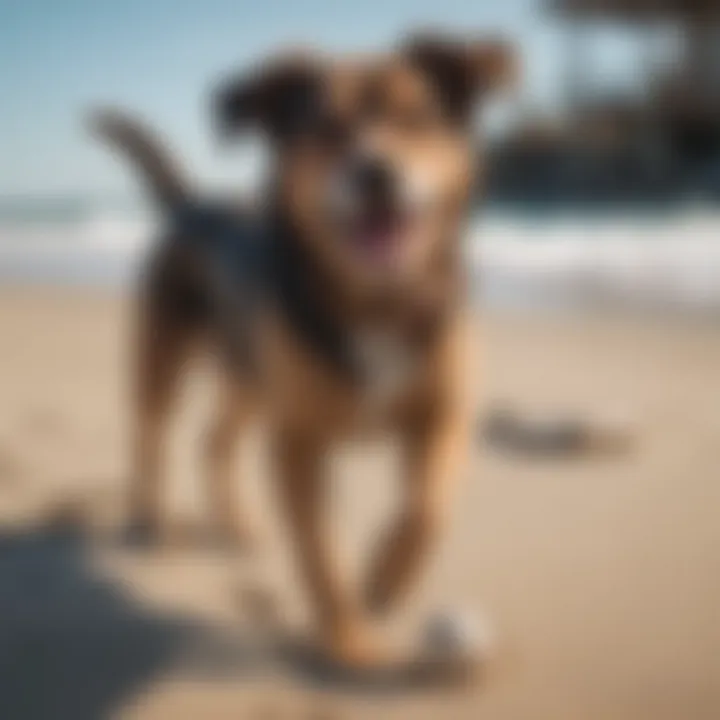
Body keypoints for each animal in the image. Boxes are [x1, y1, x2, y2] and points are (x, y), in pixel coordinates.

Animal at [91, 32, 516, 676]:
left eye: (417, 117)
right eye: (325, 127)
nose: (375, 171)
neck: (374, 303)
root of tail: (194, 204)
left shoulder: (442, 413)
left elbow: (426, 507)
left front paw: (384, 581)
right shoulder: (300, 443)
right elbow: (320, 553)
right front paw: (349, 641)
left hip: (249, 379)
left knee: (215, 442)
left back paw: (238, 524)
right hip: (163, 361)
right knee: (151, 434)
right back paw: (151, 519)